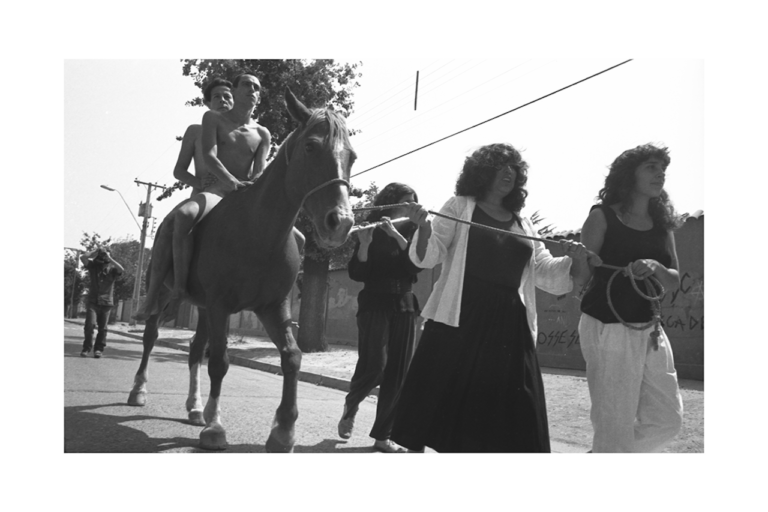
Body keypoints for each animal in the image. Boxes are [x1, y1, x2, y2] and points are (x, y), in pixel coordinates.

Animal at [127, 88, 356, 452]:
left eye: (353, 157)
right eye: (310, 147)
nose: (341, 222)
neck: (258, 230)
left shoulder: (272, 307)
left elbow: (292, 357)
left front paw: (283, 431)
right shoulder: (221, 304)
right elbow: (220, 361)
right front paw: (216, 428)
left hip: (203, 308)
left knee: (195, 350)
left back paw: (195, 408)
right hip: (166, 295)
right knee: (151, 337)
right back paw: (139, 391)